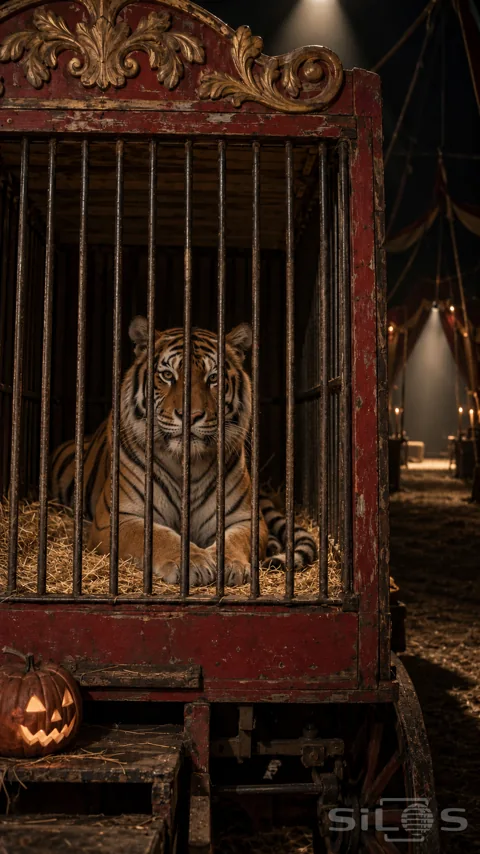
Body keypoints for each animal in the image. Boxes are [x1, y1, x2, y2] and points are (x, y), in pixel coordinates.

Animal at [50, 317, 317, 586]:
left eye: (213, 377)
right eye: (168, 375)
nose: (190, 415)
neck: (185, 463)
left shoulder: (244, 518)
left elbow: (233, 540)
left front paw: (230, 563)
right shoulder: (118, 517)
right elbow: (158, 536)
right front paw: (194, 562)